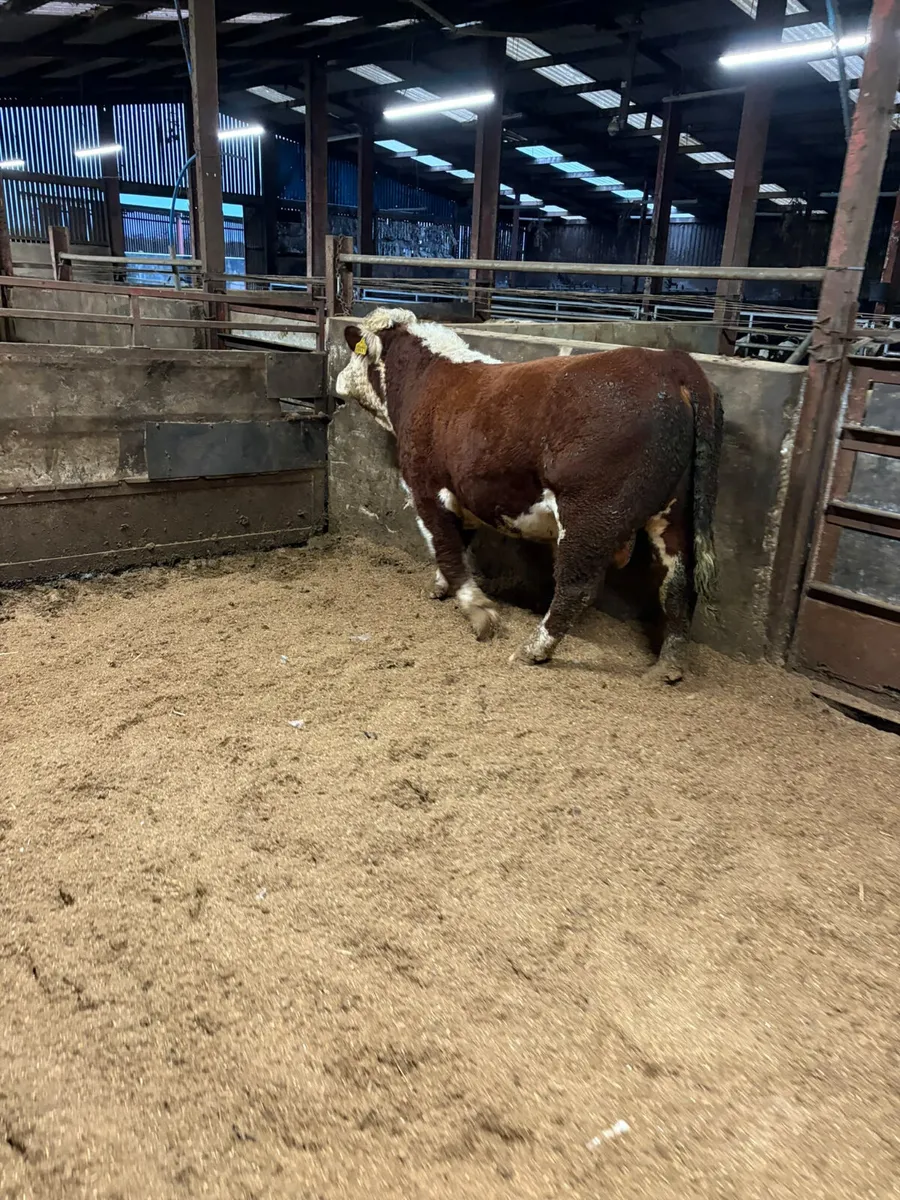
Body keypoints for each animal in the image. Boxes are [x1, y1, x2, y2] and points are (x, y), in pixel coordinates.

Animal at [335, 307, 723, 682]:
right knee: (676, 582)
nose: (339, 379)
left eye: (355, 352)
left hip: (591, 512)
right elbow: (457, 544)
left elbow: (446, 548)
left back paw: (533, 649)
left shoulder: (426, 488)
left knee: (576, 586)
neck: (425, 378)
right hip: (674, 513)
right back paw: (669, 665)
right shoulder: (464, 494)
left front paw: (479, 611)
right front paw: (442, 587)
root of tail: (670, 363)